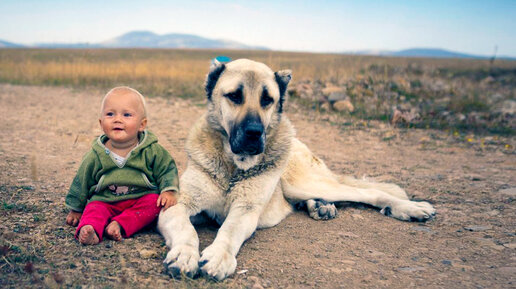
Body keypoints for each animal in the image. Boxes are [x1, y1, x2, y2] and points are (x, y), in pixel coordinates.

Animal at [158, 58, 436, 280]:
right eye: (234, 96)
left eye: (268, 100)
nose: (254, 133)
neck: (234, 167)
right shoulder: (178, 204)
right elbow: (187, 229)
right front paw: (184, 254)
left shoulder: (246, 210)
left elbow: (228, 231)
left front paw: (218, 256)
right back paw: (320, 206)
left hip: (302, 183)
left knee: (366, 193)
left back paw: (410, 208)